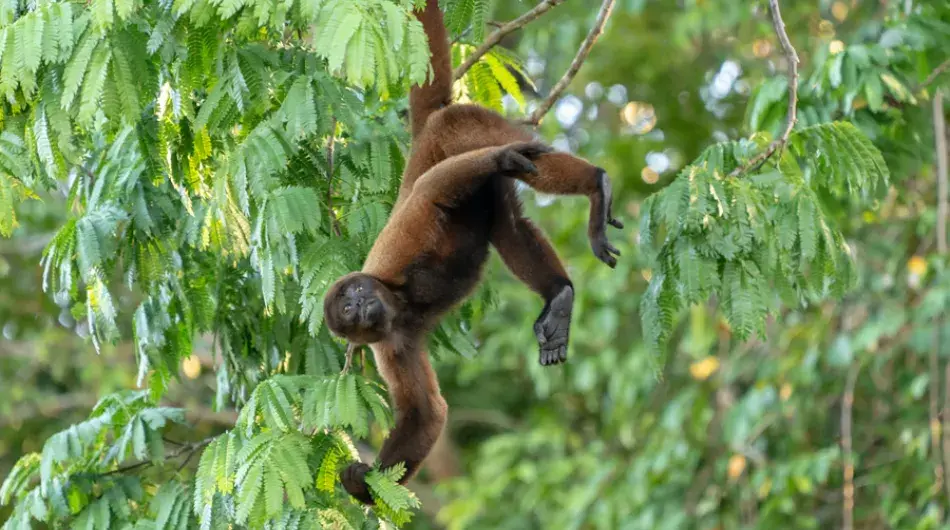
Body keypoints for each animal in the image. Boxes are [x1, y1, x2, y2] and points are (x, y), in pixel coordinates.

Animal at [323, 0, 623, 504]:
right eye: (348, 312)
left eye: (356, 296)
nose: (361, 305)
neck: (395, 300)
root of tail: (424, 132)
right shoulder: (390, 343)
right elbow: (428, 412)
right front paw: (363, 484)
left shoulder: (393, 252)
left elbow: (432, 191)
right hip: (488, 188)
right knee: (512, 228)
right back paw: (559, 297)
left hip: (462, 126)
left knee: (492, 164)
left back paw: (594, 184)